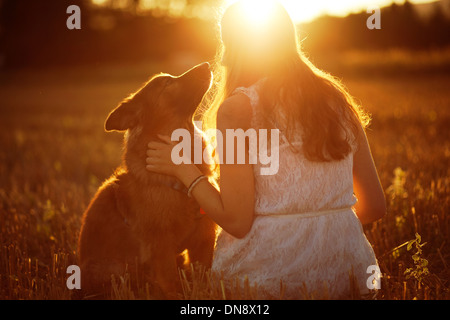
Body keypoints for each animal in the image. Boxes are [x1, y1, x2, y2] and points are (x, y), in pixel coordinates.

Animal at [77, 63, 216, 300]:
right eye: (167, 83)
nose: (206, 64)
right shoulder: (161, 248)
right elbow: (173, 286)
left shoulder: (203, 240)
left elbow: (203, 279)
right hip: (114, 268)